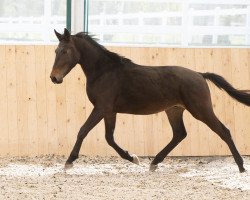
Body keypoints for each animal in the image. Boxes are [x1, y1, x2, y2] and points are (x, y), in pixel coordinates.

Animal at [50, 27, 250, 172]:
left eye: (65, 51)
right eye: (56, 51)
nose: (54, 78)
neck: (104, 72)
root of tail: (200, 75)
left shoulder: (101, 108)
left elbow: (83, 131)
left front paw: (69, 161)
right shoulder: (110, 111)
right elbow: (109, 138)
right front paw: (133, 158)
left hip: (201, 110)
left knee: (224, 131)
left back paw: (241, 166)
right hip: (174, 110)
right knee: (180, 134)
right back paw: (154, 163)